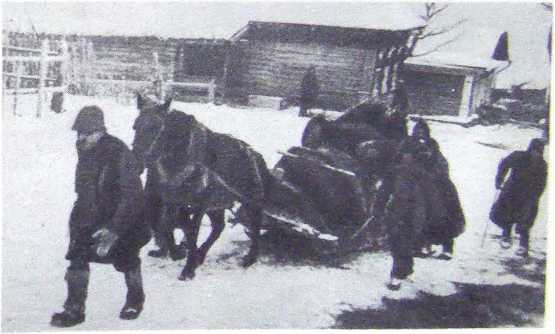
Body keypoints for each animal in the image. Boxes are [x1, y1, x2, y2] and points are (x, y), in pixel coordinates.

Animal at [130, 95, 270, 280]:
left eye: (156, 127)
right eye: (135, 126)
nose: (137, 162)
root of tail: (253, 154)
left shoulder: (198, 205)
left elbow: (191, 231)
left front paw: (188, 268)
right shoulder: (174, 201)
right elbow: (167, 224)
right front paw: (178, 253)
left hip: (251, 201)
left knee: (255, 226)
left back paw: (250, 258)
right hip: (217, 205)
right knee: (218, 227)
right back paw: (201, 254)